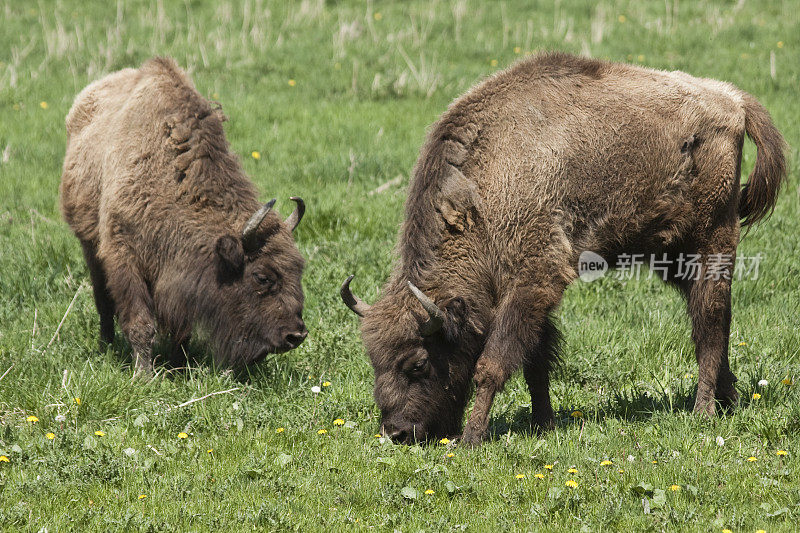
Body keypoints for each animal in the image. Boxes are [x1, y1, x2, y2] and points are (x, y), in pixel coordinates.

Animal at [59, 57, 308, 374]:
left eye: (298, 269)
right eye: (262, 277)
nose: (296, 335)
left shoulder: (180, 280)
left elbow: (181, 326)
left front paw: (179, 366)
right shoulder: (124, 257)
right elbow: (140, 322)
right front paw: (144, 374)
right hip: (89, 244)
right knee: (102, 300)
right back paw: (106, 346)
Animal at [340, 53, 784, 444]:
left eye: (417, 363)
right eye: (373, 360)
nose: (397, 433)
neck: (486, 184)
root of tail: (733, 101)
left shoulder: (532, 282)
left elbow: (494, 364)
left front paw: (471, 439)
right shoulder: (535, 295)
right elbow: (536, 362)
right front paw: (544, 424)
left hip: (711, 243)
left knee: (709, 321)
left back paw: (703, 410)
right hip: (671, 255)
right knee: (711, 317)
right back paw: (729, 399)